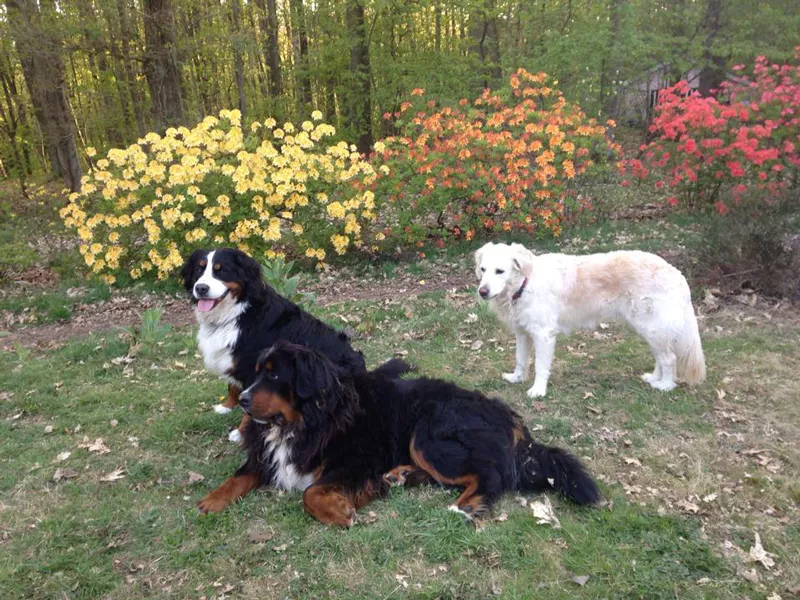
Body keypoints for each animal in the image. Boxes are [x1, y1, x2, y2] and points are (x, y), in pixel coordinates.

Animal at [178, 247, 396, 440]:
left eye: (221, 270)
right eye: (199, 270)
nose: (201, 288)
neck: (236, 313)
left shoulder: (252, 366)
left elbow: (251, 405)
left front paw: (240, 433)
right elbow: (233, 387)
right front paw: (226, 406)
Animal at [195, 340, 600, 528]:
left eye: (276, 375)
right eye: (256, 374)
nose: (243, 400)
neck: (307, 419)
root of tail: (509, 417)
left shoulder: (356, 461)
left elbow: (310, 492)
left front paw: (337, 511)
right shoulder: (268, 455)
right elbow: (241, 474)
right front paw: (211, 500)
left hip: (427, 433)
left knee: (490, 475)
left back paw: (465, 505)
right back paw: (402, 475)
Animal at [476, 241, 708, 396]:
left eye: (500, 271)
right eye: (483, 269)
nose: (482, 292)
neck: (525, 282)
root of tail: (676, 273)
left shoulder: (543, 335)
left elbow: (541, 367)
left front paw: (538, 390)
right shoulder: (522, 332)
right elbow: (521, 360)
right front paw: (516, 378)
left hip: (653, 328)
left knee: (669, 359)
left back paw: (665, 386)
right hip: (649, 329)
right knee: (662, 358)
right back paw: (654, 378)